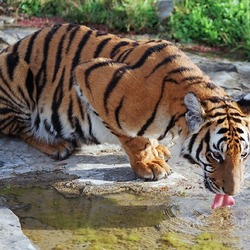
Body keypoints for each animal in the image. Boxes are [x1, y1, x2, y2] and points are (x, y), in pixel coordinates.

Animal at [0, 23, 250, 197]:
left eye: (244, 154)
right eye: (215, 155)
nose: (232, 193)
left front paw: (157, 149)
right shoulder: (89, 75)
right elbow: (134, 140)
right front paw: (149, 164)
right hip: (15, 70)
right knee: (20, 129)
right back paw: (56, 145)